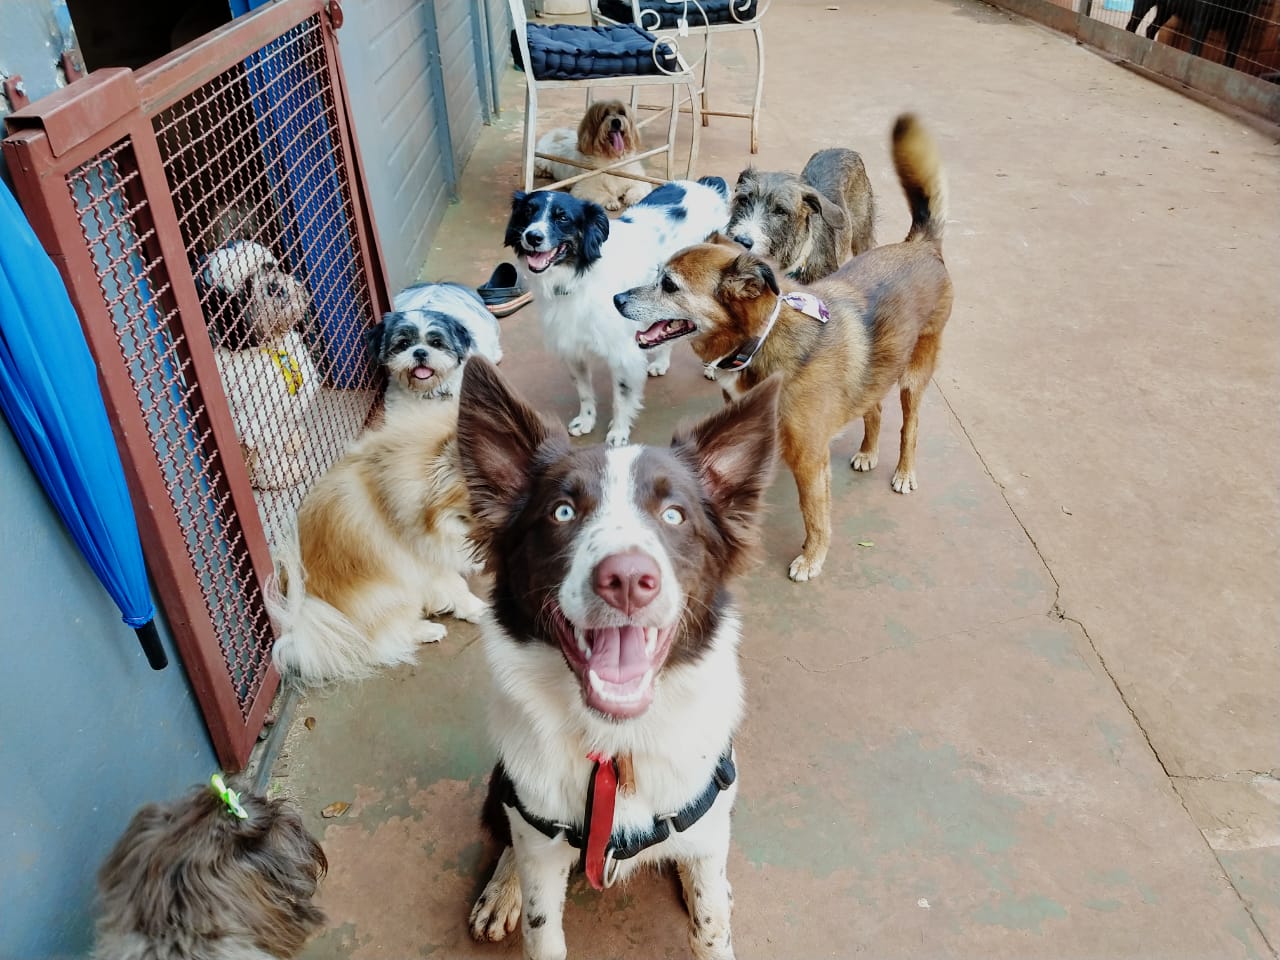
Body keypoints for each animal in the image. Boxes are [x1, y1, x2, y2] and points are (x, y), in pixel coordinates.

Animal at [200, 239, 322, 491]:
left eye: (268, 267)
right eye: (243, 292)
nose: (275, 287)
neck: (272, 348)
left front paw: (292, 439)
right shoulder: (256, 425)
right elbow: (269, 455)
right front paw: (285, 472)